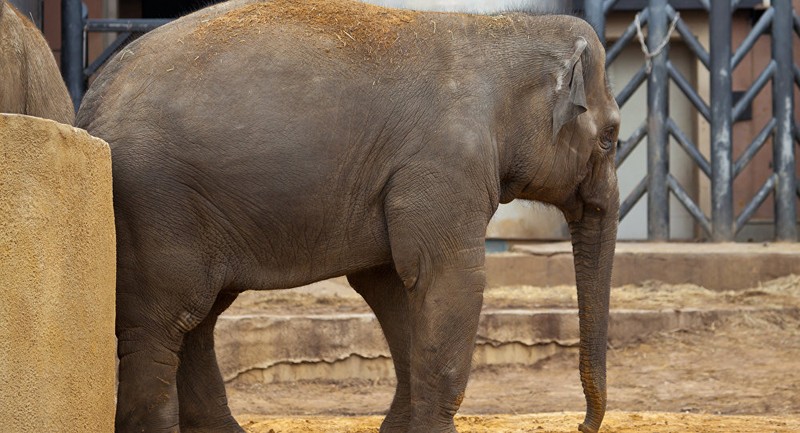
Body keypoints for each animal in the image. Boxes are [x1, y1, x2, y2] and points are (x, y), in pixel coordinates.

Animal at [76, 0, 620, 432]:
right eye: (612, 136)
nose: (580, 425)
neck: (499, 31)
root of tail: (89, 103)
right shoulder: (445, 165)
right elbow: (447, 277)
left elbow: (391, 285)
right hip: (155, 204)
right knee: (165, 322)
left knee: (199, 320)